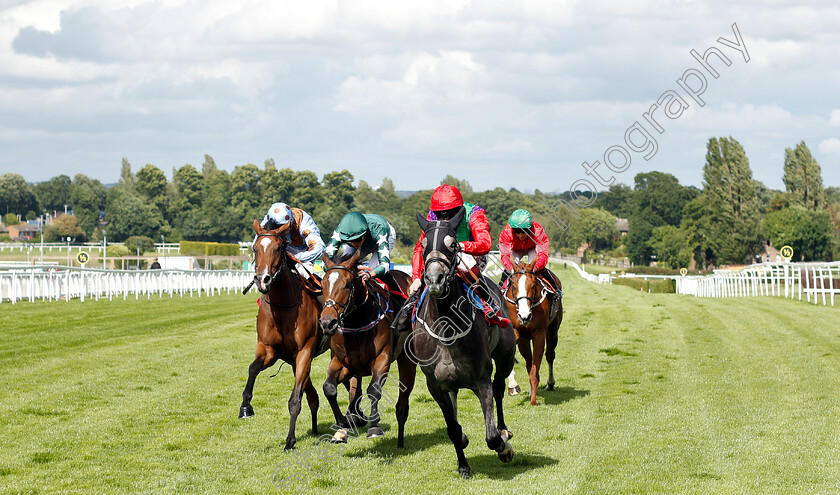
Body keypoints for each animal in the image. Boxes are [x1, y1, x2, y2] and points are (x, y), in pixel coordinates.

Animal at [240, 219, 328, 452]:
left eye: (279, 248)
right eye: (255, 248)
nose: (262, 279)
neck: (283, 305)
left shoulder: (304, 352)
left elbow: (295, 400)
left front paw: (290, 440)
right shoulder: (269, 350)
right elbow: (252, 369)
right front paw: (245, 407)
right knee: (313, 395)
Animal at [318, 250, 416, 448]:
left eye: (347, 284)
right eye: (323, 284)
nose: (327, 322)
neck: (357, 322)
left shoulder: (382, 359)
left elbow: (374, 390)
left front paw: (374, 427)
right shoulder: (342, 362)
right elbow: (329, 388)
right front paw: (343, 422)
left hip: (407, 360)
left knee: (403, 401)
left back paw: (400, 440)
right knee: (354, 393)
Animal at [414, 210, 520, 480]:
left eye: (452, 245)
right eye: (423, 244)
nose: (435, 279)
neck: (446, 329)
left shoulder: (481, 379)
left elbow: (491, 436)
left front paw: (504, 446)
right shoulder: (436, 386)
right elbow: (453, 430)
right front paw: (463, 463)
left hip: (504, 357)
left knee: (499, 388)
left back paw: (504, 429)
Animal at [506, 258, 564, 404]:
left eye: (533, 286)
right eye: (513, 286)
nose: (524, 316)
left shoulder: (539, 334)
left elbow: (535, 368)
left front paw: (533, 400)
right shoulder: (520, 335)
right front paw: (513, 386)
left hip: (553, 331)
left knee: (550, 355)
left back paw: (550, 384)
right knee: (529, 362)